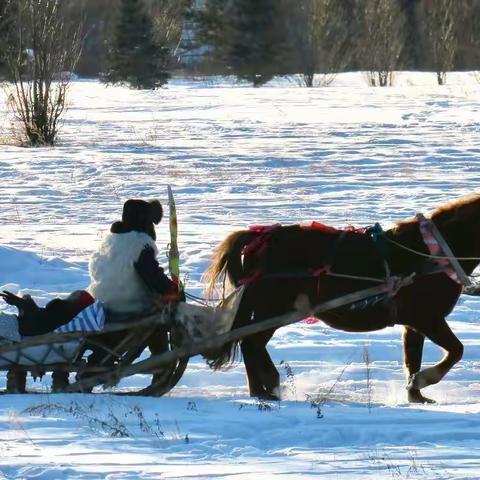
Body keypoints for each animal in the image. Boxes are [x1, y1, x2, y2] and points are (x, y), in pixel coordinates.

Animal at [204, 193, 480, 404]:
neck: (434, 253)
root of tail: (262, 238)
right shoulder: (427, 318)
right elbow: (456, 350)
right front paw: (423, 381)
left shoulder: (414, 324)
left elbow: (412, 360)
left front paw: (416, 394)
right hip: (273, 309)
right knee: (251, 344)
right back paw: (265, 392)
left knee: (252, 345)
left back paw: (265, 390)